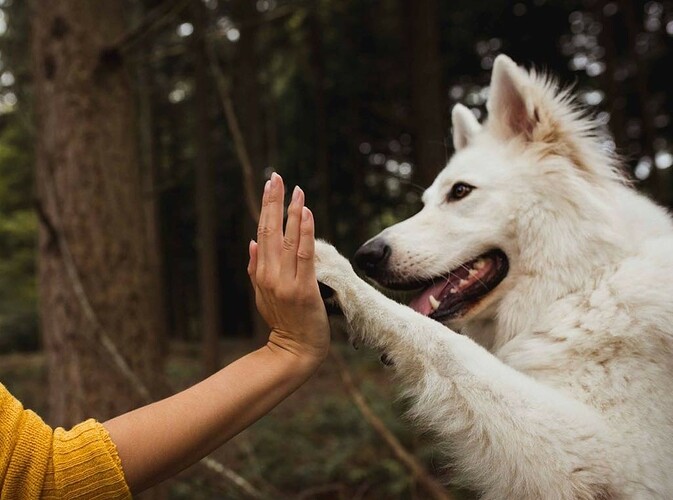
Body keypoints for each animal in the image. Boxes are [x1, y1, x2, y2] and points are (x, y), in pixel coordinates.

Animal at [314, 54, 672, 500]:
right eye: (426, 201)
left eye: (460, 191)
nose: (366, 257)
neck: (580, 286)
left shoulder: (605, 455)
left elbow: (445, 343)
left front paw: (339, 275)